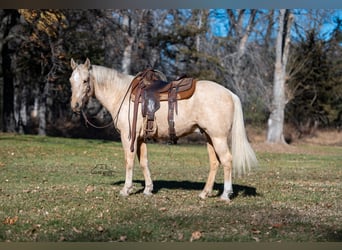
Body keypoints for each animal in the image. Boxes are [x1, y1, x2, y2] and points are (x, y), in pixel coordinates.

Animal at [69, 57, 256, 200]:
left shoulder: (128, 137)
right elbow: (143, 162)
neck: (122, 94)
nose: (75, 106)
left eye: (85, 81)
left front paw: (126, 189)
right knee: (215, 163)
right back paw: (204, 193)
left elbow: (129, 161)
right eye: (71, 81)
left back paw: (225, 195)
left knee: (227, 161)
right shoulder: (140, 138)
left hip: (218, 138)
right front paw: (148, 189)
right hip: (209, 137)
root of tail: (230, 93)